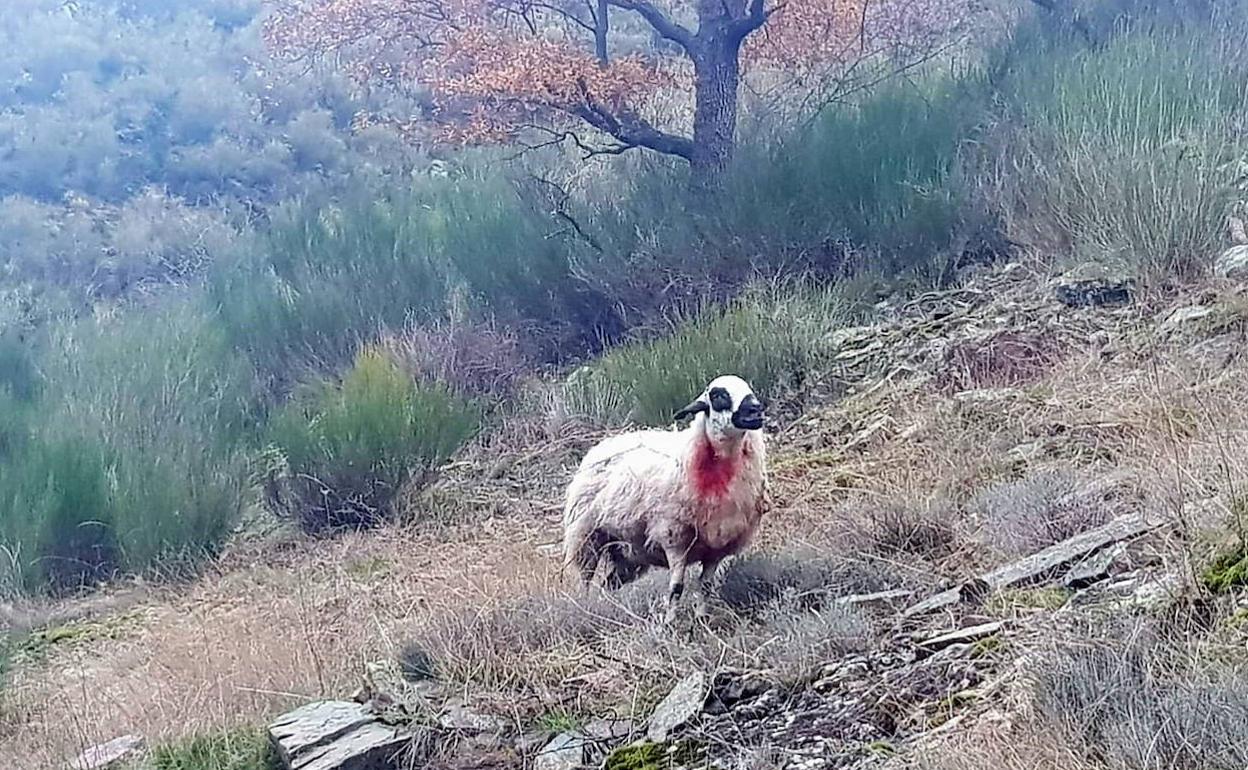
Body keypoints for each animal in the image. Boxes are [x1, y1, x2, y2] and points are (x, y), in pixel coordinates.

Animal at [559, 374, 768, 621]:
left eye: (748, 388)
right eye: (718, 395)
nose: (755, 410)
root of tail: (604, 443)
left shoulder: (716, 547)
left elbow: (705, 587)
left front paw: (702, 619)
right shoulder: (674, 538)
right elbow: (676, 588)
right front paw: (669, 622)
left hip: (628, 552)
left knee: (608, 583)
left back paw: (611, 608)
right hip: (586, 536)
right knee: (585, 579)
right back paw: (587, 608)